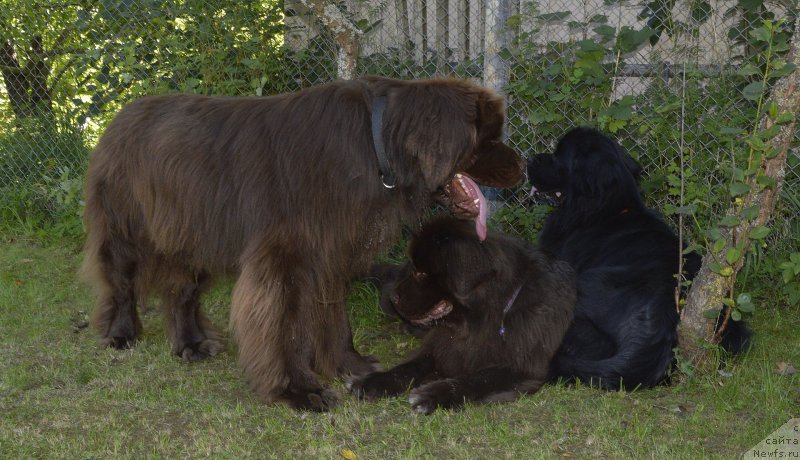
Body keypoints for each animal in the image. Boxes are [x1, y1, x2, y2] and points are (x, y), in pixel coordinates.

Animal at [81, 77, 524, 412]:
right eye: (488, 137)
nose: (522, 167)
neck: (375, 145)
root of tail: (118, 117)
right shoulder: (285, 260)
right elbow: (284, 328)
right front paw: (298, 391)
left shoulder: (331, 254)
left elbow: (335, 320)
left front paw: (348, 365)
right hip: (126, 229)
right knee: (120, 283)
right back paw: (120, 335)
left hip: (192, 234)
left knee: (183, 292)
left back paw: (191, 345)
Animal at [350, 217, 576, 416]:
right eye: (415, 268)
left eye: (422, 274)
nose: (394, 296)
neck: (485, 317)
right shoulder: (441, 347)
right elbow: (409, 367)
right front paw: (372, 381)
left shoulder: (521, 368)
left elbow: (476, 379)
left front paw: (431, 396)